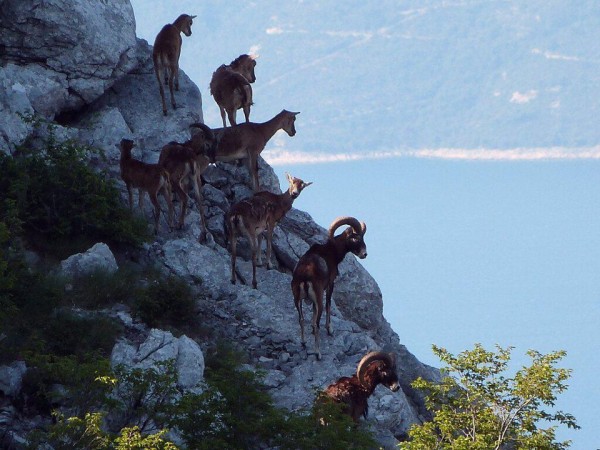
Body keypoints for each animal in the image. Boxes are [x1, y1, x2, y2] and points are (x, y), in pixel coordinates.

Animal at [290, 216, 366, 360]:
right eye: (355, 238)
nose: (364, 254)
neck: (332, 252)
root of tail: (304, 278)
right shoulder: (330, 284)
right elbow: (328, 304)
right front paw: (330, 329)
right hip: (318, 298)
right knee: (317, 322)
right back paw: (318, 354)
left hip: (297, 300)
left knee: (301, 319)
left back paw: (303, 343)